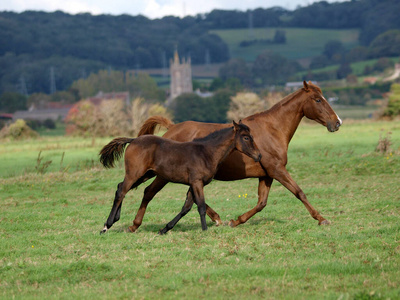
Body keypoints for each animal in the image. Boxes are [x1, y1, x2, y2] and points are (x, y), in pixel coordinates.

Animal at [130, 80, 342, 232]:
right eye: (318, 100)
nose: (337, 122)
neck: (272, 129)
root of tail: (172, 129)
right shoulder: (277, 170)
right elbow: (299, 192)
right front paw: (322, 219)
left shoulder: (266, 175)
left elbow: (261, 203)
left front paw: (236, 221)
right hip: (162, 175)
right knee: (148, 192)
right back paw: (135, 224)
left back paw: (217, 219)